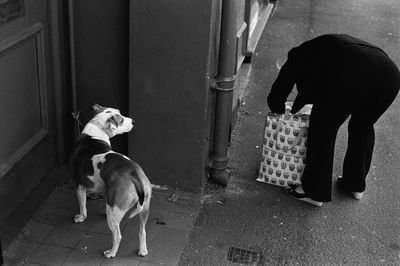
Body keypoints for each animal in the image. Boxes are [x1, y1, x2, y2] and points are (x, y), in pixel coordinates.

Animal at [70, 104, 152, 258]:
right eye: (121, 118)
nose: (133, 121)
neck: (96, 130)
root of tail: (134, 173)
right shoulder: (106, 189)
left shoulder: (79, 185)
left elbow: (82, 205)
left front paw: (81, 217)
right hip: (145, 208)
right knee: (142, 231)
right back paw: (143, 251)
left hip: (116, 213)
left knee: (117, 236)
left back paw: (111, 253)